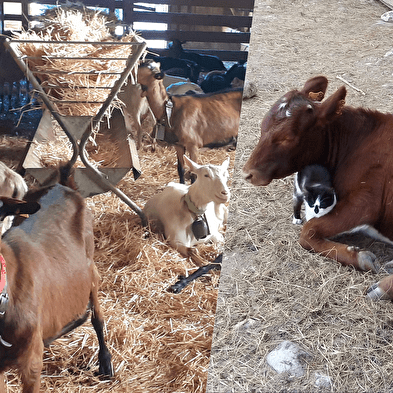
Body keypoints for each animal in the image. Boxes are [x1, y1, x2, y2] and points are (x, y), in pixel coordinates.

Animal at [240, 74, 393, 300]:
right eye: (262, 126)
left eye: (287, 138)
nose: (247, 173)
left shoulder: (365, 202)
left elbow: (307, 231)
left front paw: (360, 257)